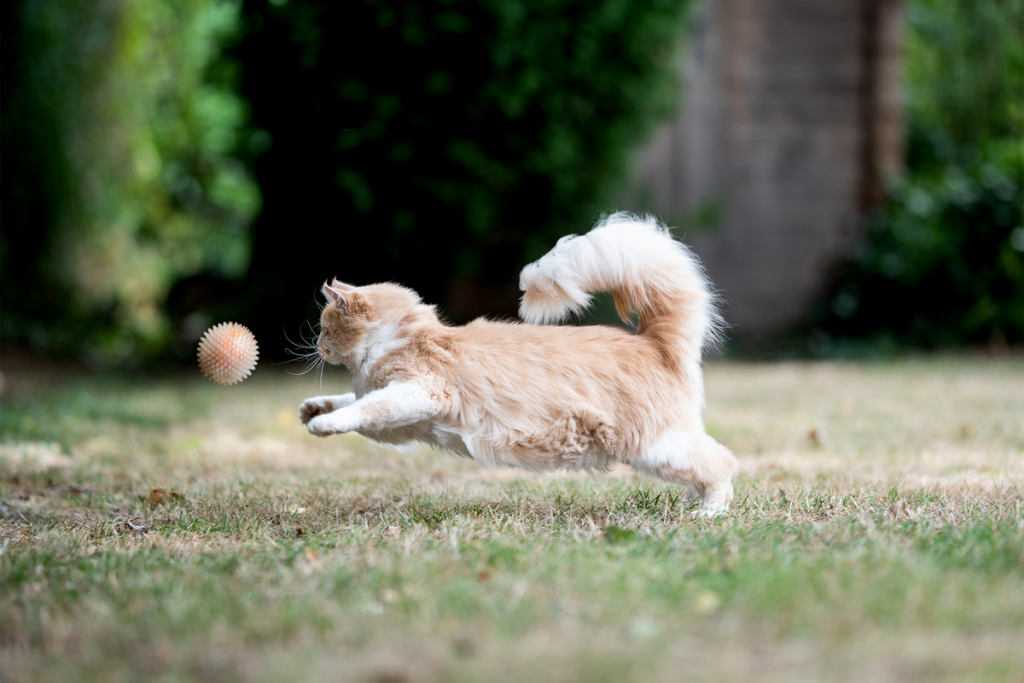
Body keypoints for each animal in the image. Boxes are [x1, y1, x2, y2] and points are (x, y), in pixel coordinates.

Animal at [296, 211, 737, 511]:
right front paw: (313, 407)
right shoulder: (400, 423)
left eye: (324, 327)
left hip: (658, 448)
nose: (316, 344)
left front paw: (322, 423)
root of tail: (653, 343)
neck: (400, 337)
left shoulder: (420, 392)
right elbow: (354, 401)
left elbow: (363, 409)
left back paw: (708, 514)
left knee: (721, 465)